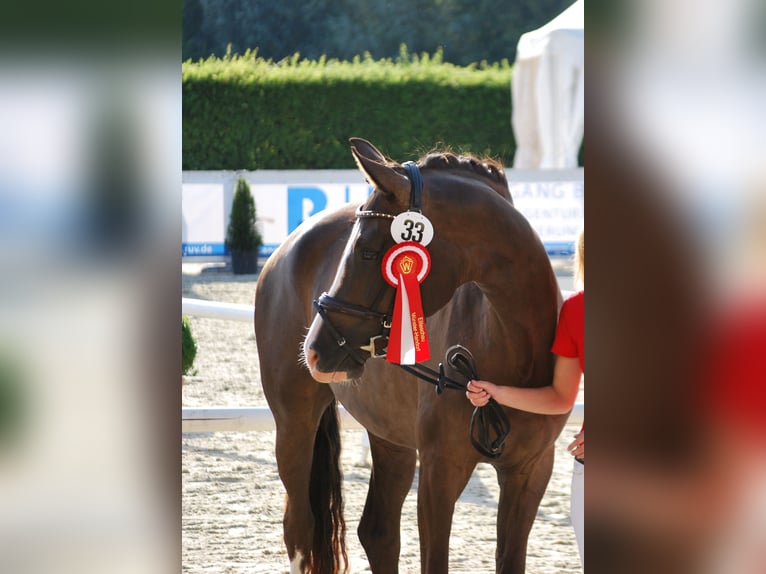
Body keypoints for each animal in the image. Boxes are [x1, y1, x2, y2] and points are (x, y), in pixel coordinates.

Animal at [254, 137, 567, 573]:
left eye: (368, 251)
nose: (314, 349)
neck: (514, 349)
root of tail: (288, 246)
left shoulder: (531, 471)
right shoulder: (440, 472)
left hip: (390, 436)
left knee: (378, 531)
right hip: (294, 422)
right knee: (299, 528)